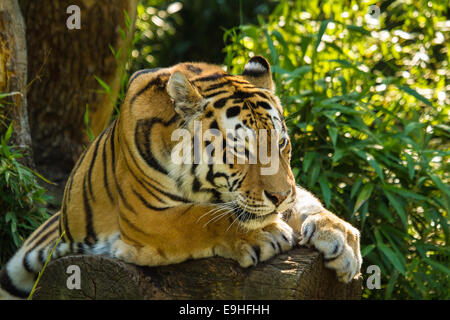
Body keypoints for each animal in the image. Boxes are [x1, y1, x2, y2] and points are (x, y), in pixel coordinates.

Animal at [0, 56, 360, 298]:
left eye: (282, 143)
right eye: (243, 150)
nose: (279, 196)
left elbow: (304, 201)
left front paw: (340, 238)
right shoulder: (146, 217)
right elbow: (199, 219)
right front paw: (264, 234)